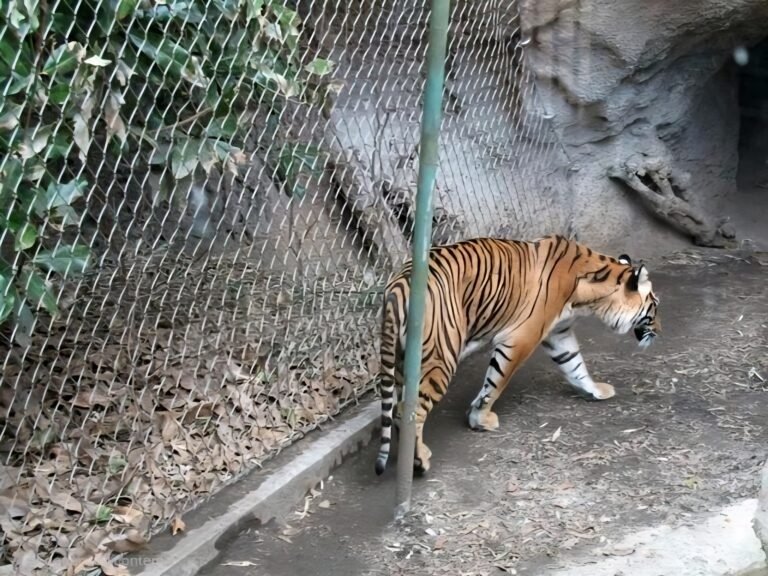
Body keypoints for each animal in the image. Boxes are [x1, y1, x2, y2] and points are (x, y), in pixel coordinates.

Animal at [374, 234, 660, 476]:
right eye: (654, 306)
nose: (659, 331)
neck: (590, 294)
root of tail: (398, 284)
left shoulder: (559, 333)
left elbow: (575, 365)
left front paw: (596, 391)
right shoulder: (520, 339)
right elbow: (495, 382)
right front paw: (481, 419)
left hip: (401, 360)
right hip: (440, 358)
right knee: (407, 410)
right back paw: (420, 461)